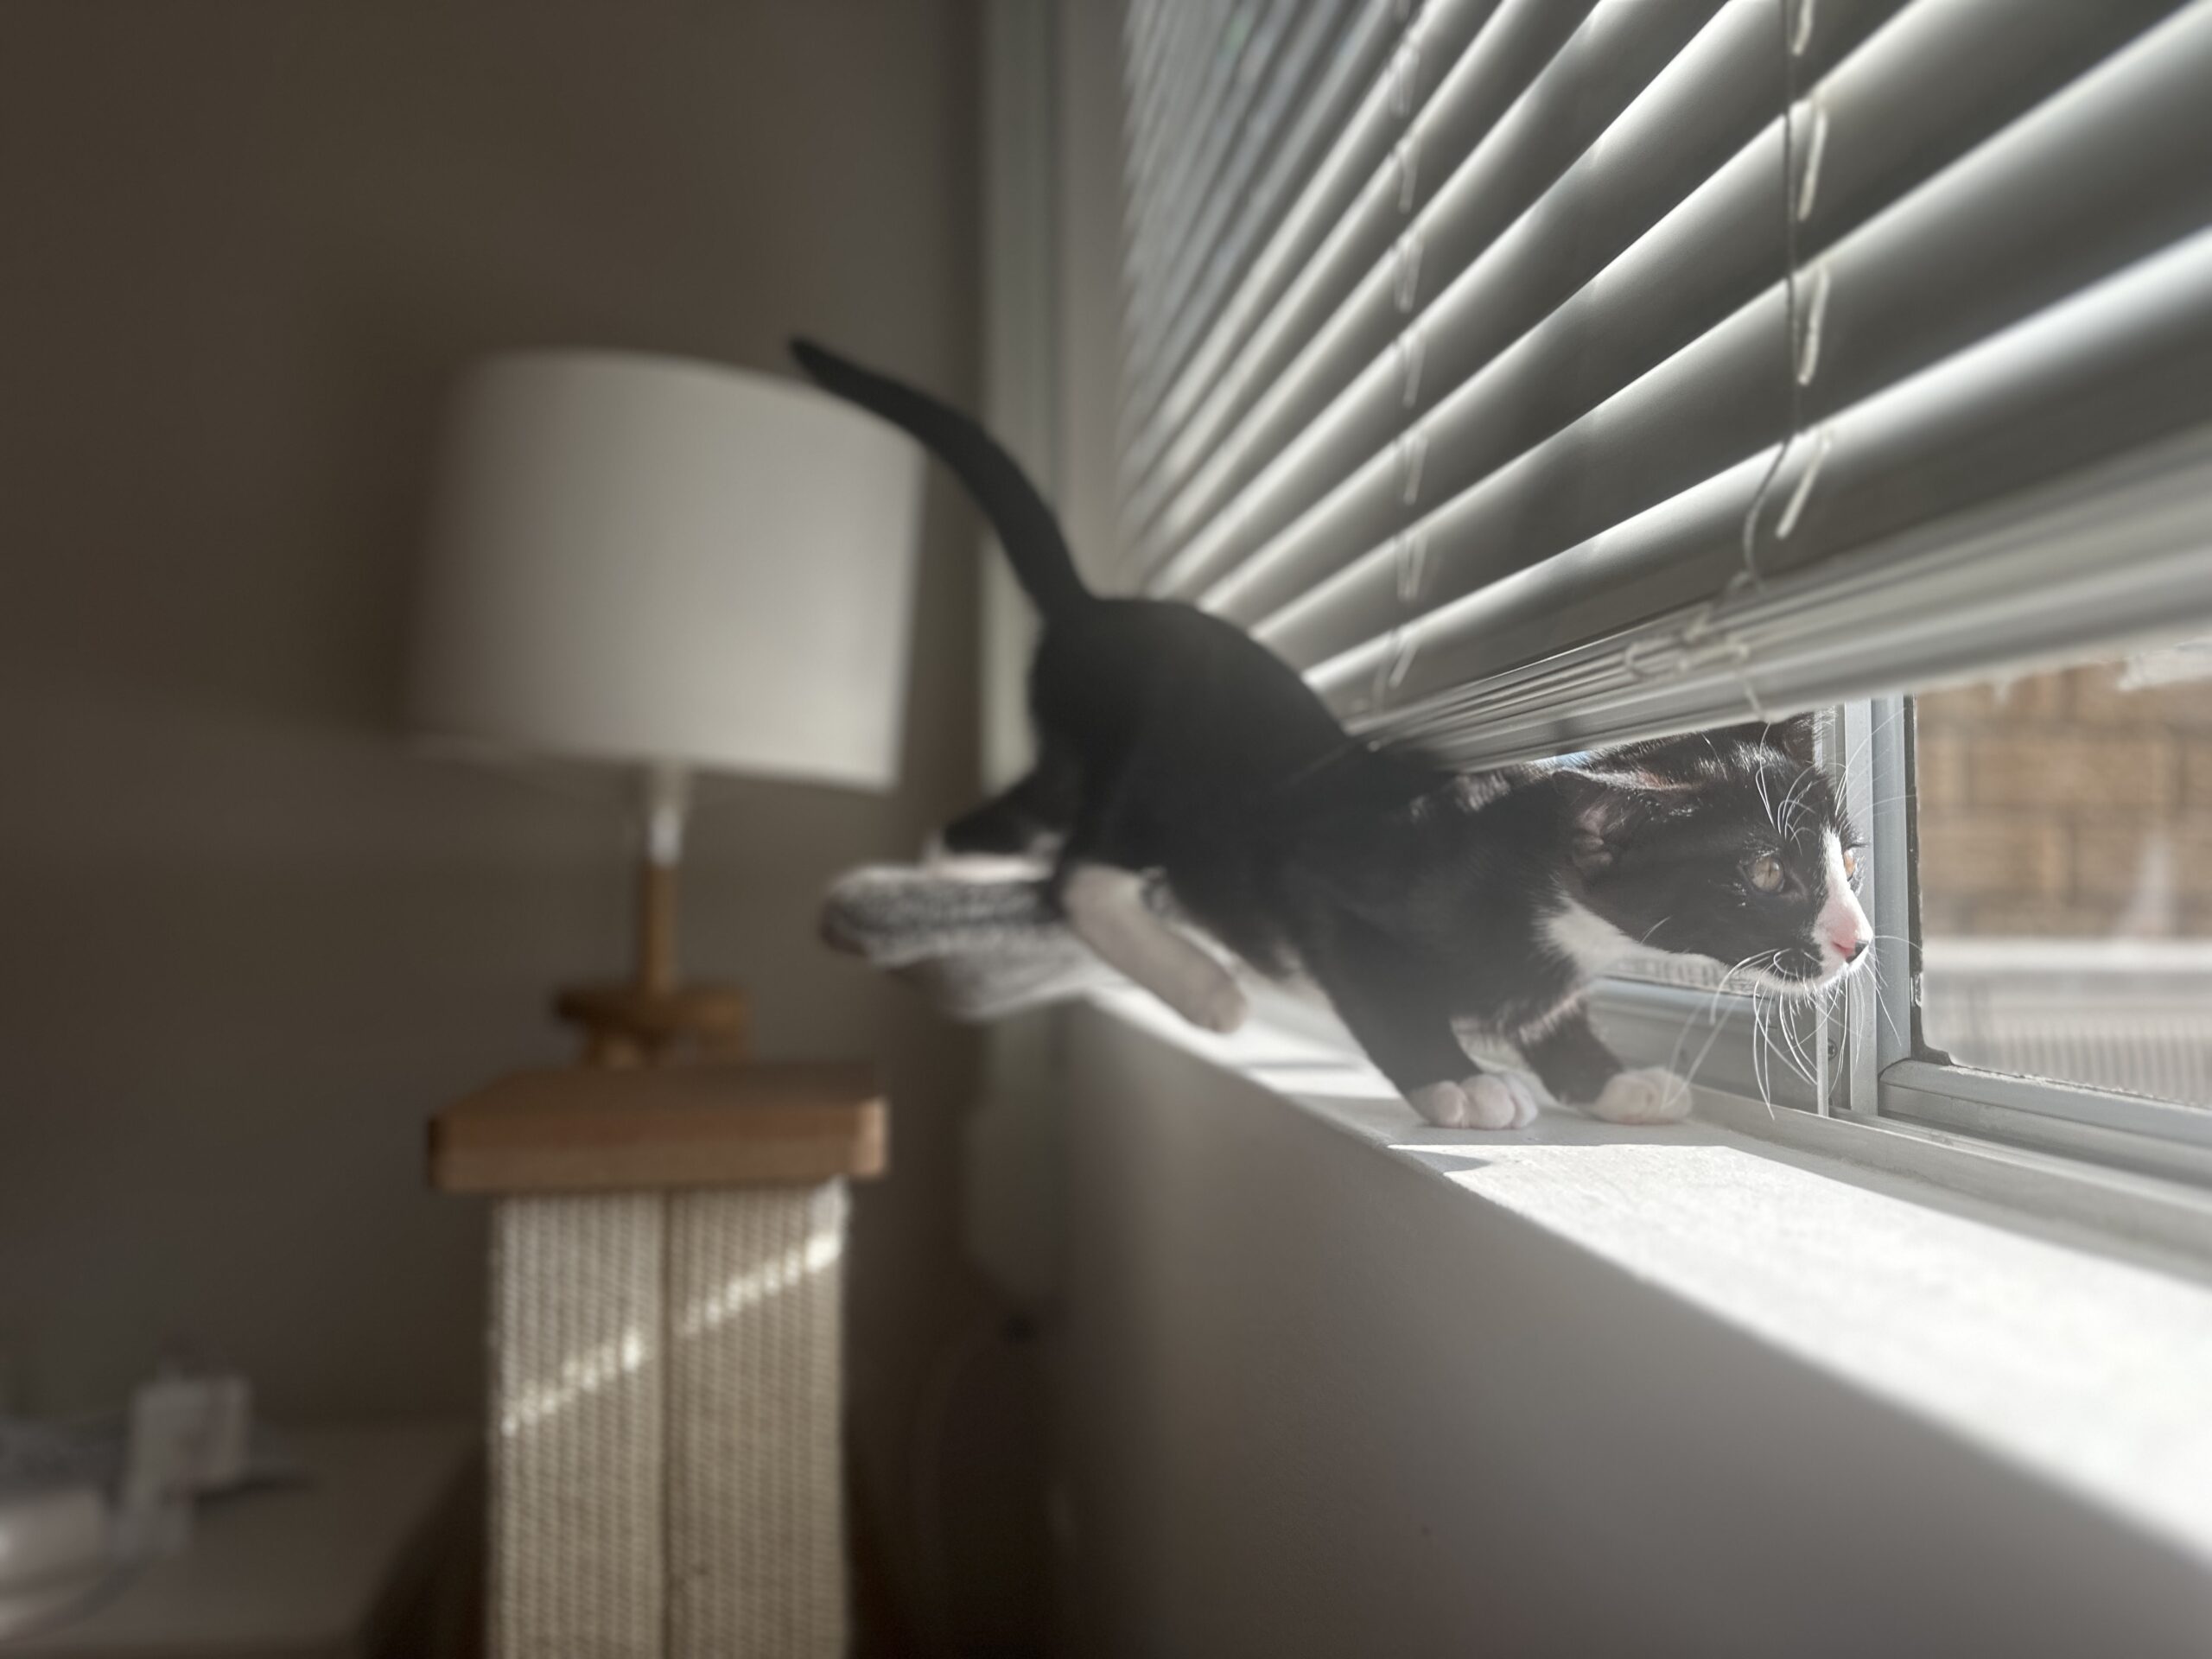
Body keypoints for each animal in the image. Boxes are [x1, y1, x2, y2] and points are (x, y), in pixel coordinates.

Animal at [792, 341, 1871, 1130]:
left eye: (1848, 858)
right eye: (1766, 873)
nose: (1858, 940)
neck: (1545, 899)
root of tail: (1097, 610)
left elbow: (1555, 1014)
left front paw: (1608, 1079)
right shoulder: (1329, 882)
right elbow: (1378, 987)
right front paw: (1458, 1079)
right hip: (1150, 766)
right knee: (1076, 866)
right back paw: (1197, 984)